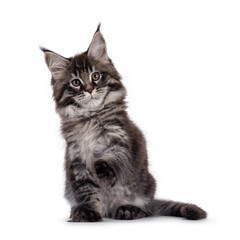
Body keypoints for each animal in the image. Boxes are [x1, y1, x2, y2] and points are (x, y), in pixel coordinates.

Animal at [40, 25, 206, 222]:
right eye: (76, 82)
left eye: (95, 76)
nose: (89, 90)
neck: (91, 118)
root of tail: (109, 211)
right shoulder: (76, 157)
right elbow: (86, 190)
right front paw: (87, 211)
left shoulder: (121, 141)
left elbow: (114, 160)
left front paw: (100, 167)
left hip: (145, 187)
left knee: (146, 209)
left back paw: (128, 209)